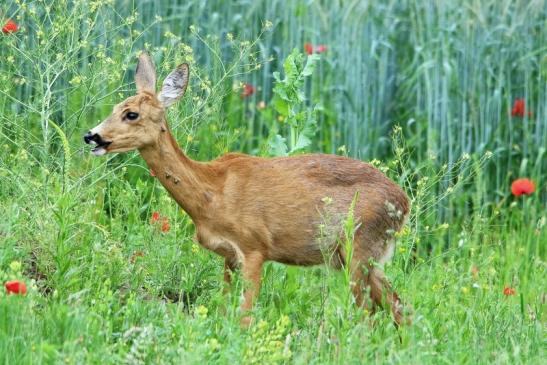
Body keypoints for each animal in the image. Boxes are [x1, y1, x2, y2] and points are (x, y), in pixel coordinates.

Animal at [82, 52, 412, 326]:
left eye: (131, 114)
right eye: (115, 107)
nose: (91, 135)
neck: (211, 194)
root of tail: (404, 202)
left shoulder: (255, 246)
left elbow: (245, 316)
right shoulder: (228, 256)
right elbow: (224, 308)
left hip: (360, 246)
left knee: (370, 316)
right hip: (356, 258)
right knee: (400, 308)